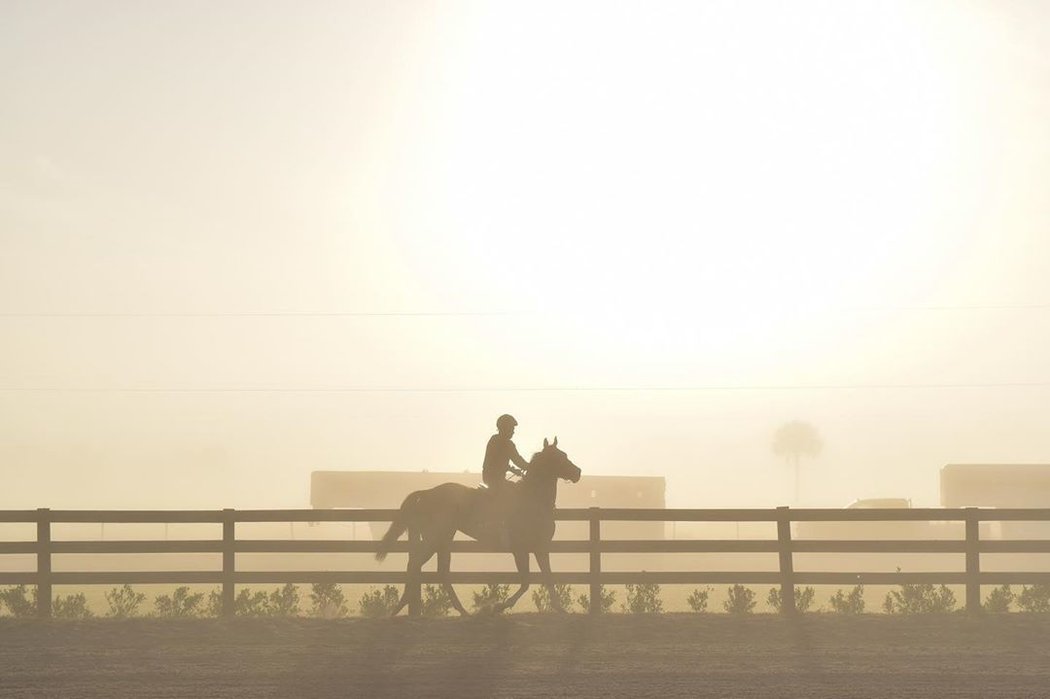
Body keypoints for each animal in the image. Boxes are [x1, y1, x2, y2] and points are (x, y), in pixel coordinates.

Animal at [375, 438, 583, 612]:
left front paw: (560, 609)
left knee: (440, 571)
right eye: (560, 457)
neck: (533, 499)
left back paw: (461, 611)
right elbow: (526, 581)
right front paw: (498, 606)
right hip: (434, 539)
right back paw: (401, 605)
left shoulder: (541, 548)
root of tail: (427, 493)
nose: (578, 472)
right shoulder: (521, 550)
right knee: (415, 564)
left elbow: (548, 577)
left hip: (444, 540)